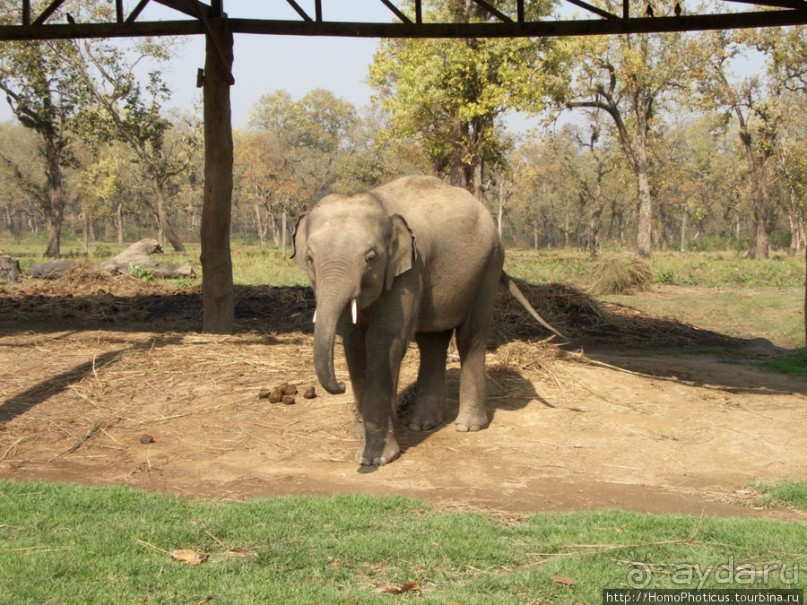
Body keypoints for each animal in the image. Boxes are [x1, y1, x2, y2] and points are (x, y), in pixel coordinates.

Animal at [292, 175, 560, 468]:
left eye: (371, 258)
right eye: (309, 258)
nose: (338, 387)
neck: (377, 201)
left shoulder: (409, 271)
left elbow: (383, 343)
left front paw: (374, 458)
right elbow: (354, 344)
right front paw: (360, 433)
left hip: (489, 264)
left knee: (470, 337)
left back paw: (467, 426)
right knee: (432, 341)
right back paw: (423, 424)